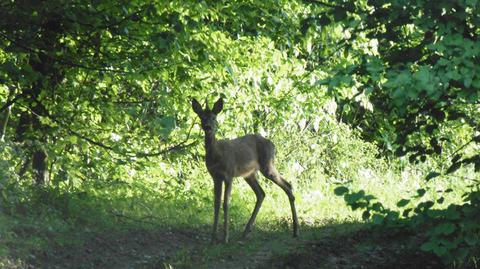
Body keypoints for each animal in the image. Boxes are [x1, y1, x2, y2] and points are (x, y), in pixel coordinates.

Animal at [192, 97, 298, 243]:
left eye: (214, 117)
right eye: (201, 116)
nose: (208, 127)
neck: (217, 154)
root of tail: (272, 144)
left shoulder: (229, 174)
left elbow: (226, 203)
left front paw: (225, 238)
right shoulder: (215, 177)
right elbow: (216, 204)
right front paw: (213, 238)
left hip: (267, 165)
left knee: (287, 185)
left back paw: (296, 230)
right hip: (249, 174)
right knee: (261, 193)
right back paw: (246, 231)